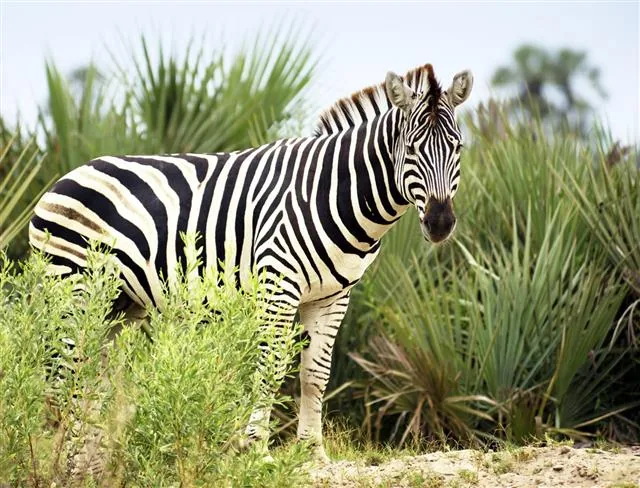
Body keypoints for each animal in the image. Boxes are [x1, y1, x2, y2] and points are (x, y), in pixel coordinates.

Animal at [29, 63, 473, 461]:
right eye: (411, 149)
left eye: (458, 148)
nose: (440, 223)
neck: (334, 193)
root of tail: (64, 177)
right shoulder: (279, 285)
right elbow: (271, 367)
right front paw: (256, 448)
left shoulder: (333, 296)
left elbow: (315, 373)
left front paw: (313, 452)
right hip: (74, 289)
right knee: (65, 372)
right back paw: (60, 457)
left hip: (118, 306)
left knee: (91, 377)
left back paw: (89, 459)